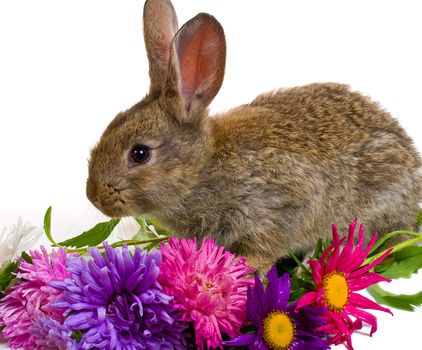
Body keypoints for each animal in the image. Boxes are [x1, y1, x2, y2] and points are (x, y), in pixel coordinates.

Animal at [86, 0, 422, 270]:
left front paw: (245, 268)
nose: (94, 196)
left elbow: (263, 248)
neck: (201, 170)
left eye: (139, 153)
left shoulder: (274, 207)